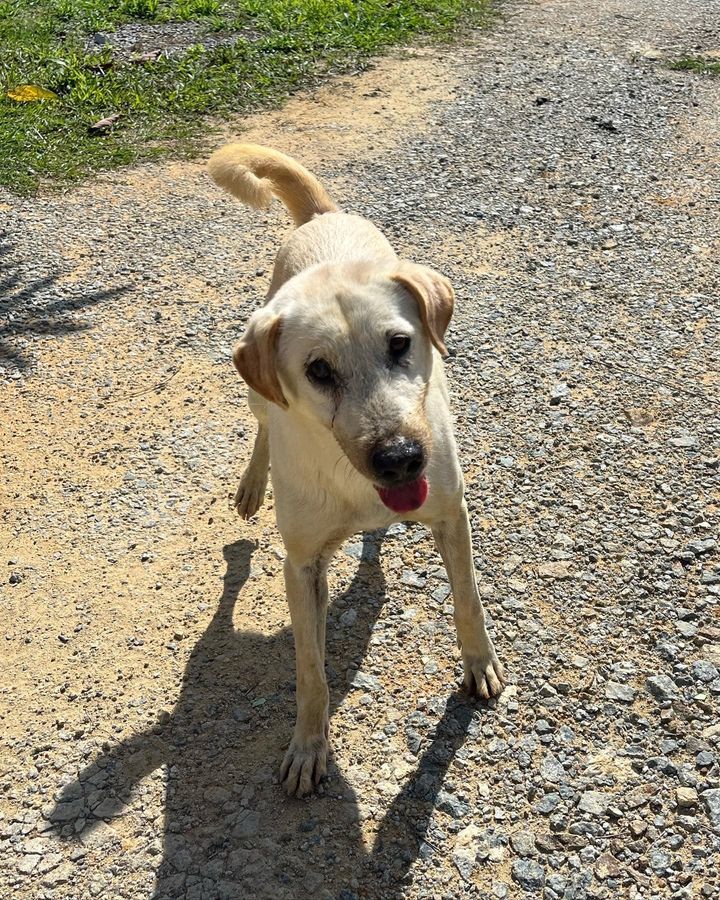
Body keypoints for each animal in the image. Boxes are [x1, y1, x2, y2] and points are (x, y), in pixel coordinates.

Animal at [205, 144, 504, 800]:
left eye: (399, 344)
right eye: (318, 370)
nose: (400, 456)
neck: (355, 482)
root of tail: (324, 216)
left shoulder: (451, 513)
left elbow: (467, 600)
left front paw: (480, 663)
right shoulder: (301, 565)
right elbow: (310, 670)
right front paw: (307, 746)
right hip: (257, 389)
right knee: (263, 426)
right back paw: (252, 485)